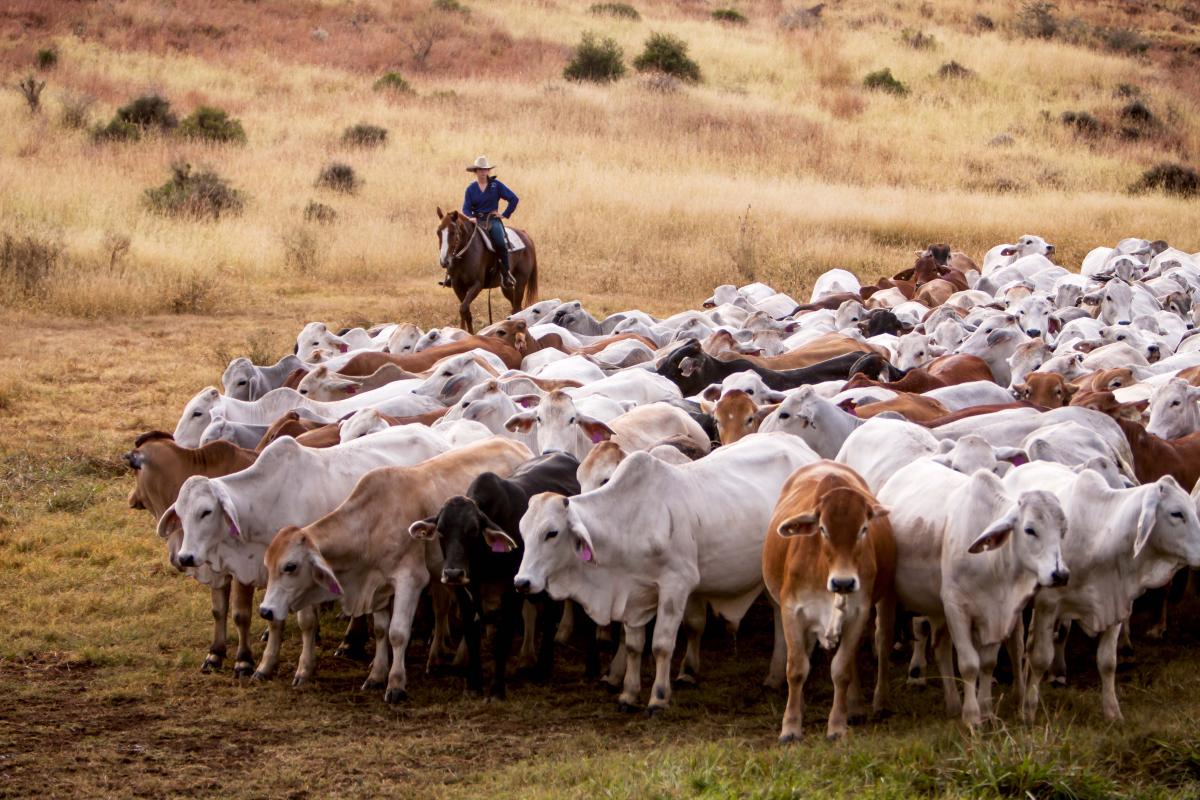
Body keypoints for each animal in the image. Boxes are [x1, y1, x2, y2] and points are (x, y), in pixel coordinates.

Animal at [409, 452, 581, 698]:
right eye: (441, 531)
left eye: (473, 531)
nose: (452, 573)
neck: (484, 562)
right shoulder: (465, 593)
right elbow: (471, 635)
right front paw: (473, 684)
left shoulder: (514, 591)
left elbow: (504, 637)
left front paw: (497, 688)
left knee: (549, 616)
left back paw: (542, 667)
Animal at [514, 433, 821, 712]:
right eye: (523, 532)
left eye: (552, 533)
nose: (522, 582)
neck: (630, 520)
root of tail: (804, 449)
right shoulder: (635, 592)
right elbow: (635, 645)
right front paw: (629, 693)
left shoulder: (676, 585)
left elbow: (661, 644)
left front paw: (658, 697)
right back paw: (775, 676)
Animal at [762, 461, 896, 741]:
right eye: (822, 529)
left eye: (863, 529)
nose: (843, 582)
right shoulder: (791, 611)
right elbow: (797, 668)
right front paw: (790, 726)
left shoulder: (859, 613)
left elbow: (842, 670)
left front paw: (837, 726)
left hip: (886, 598)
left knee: (881, 644)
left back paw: (869, 704)